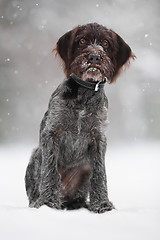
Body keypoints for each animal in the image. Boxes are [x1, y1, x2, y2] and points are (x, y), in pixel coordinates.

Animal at [25, 23, 135, 214]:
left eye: (105, 43)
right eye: (82, 41)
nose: (94, 56)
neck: (84, 94)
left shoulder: (99, 137)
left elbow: (99, 173)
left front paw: (102, 205)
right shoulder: (51, 133)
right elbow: (50, 169)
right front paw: (48, 203)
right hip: (35, 156)